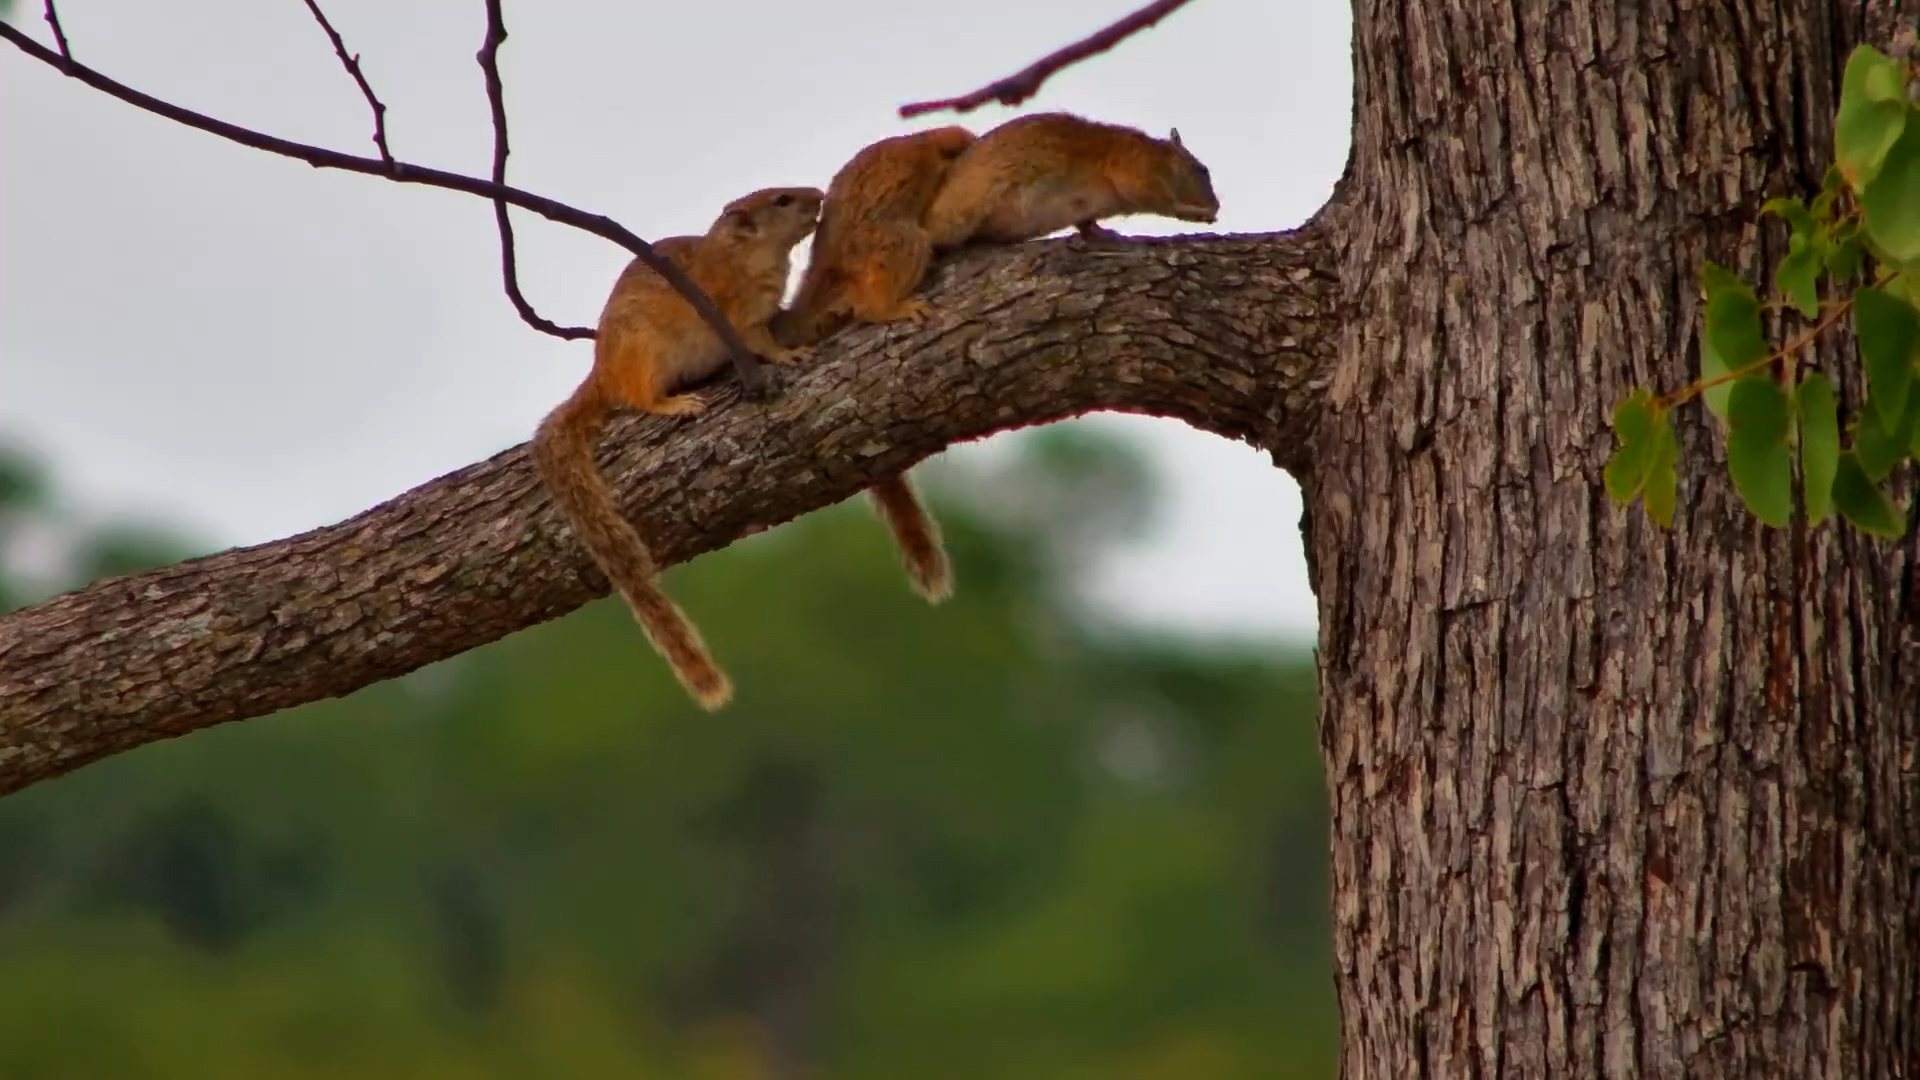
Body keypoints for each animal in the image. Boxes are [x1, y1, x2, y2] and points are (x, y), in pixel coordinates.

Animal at [531, 185, 824, 711]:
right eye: (783, 200)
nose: (821, 194)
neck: (744, 254)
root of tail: (603, 375)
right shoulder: (741, 319)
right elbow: (763, 345)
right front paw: (790, 354)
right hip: (646, 354)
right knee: (640, 398)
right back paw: (674, 404)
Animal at [922, 113, 1220, 251]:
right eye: (1203, 170)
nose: (1217, 205)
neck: (1159, 154)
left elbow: (1087, 224)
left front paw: (1101, 233)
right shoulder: (1135, 169)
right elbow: (1163, 202)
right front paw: (1197, 212)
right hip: (957, 216)